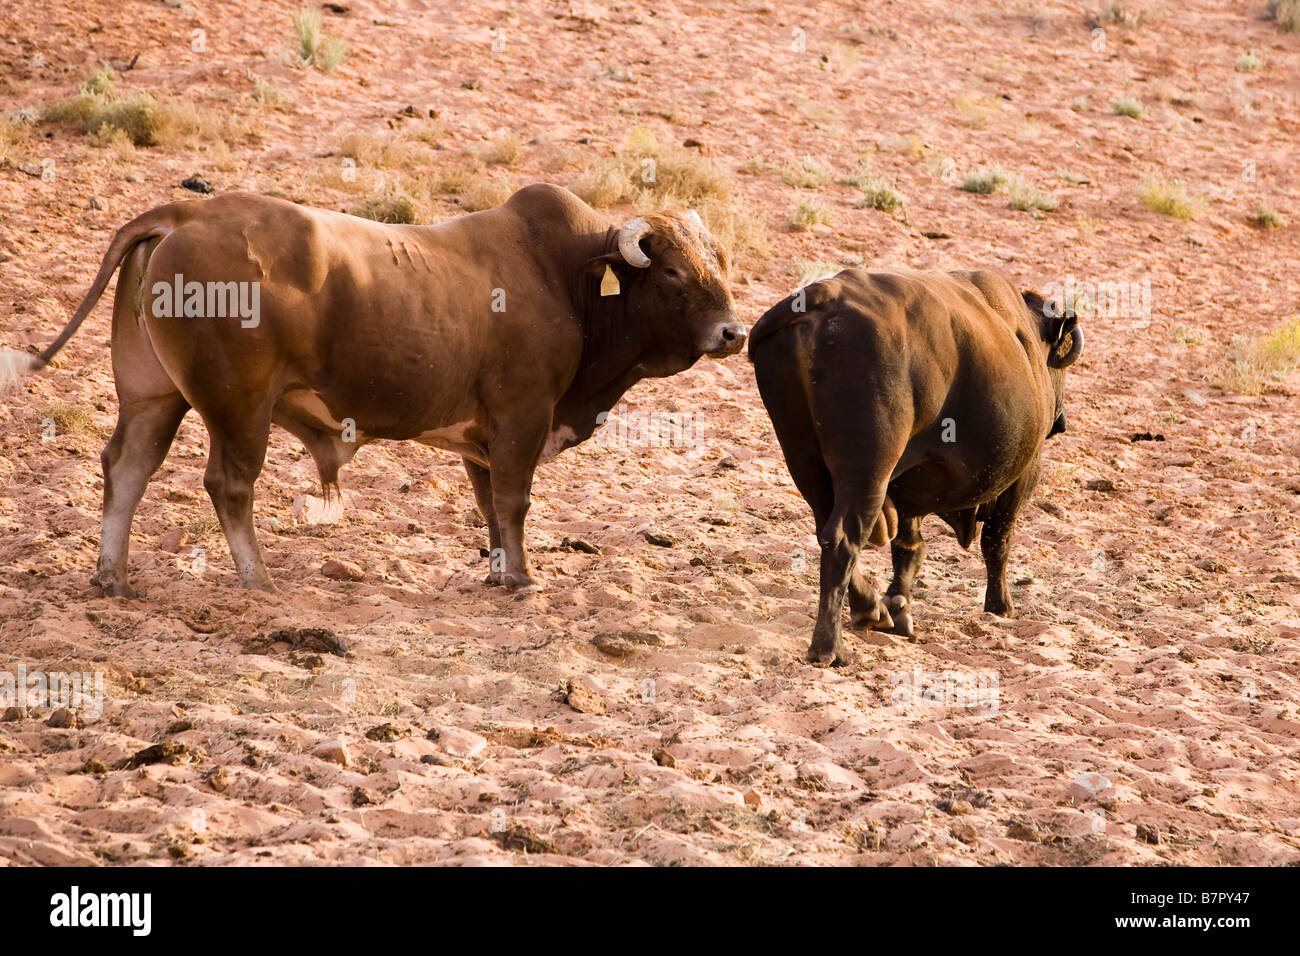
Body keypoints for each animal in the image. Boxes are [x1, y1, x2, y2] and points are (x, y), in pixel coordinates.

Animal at [748, 264, 1081, 665]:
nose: (1060, 421)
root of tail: (824, 299)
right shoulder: (1022, 478)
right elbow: (996, 541)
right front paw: (1000, 606)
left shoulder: (908, 494)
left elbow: (909, 549)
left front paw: (898, 608)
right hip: (868, 471)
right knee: (843, 539)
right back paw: (830, 647)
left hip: (805, 463)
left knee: (826, 532)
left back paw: (872, 610)